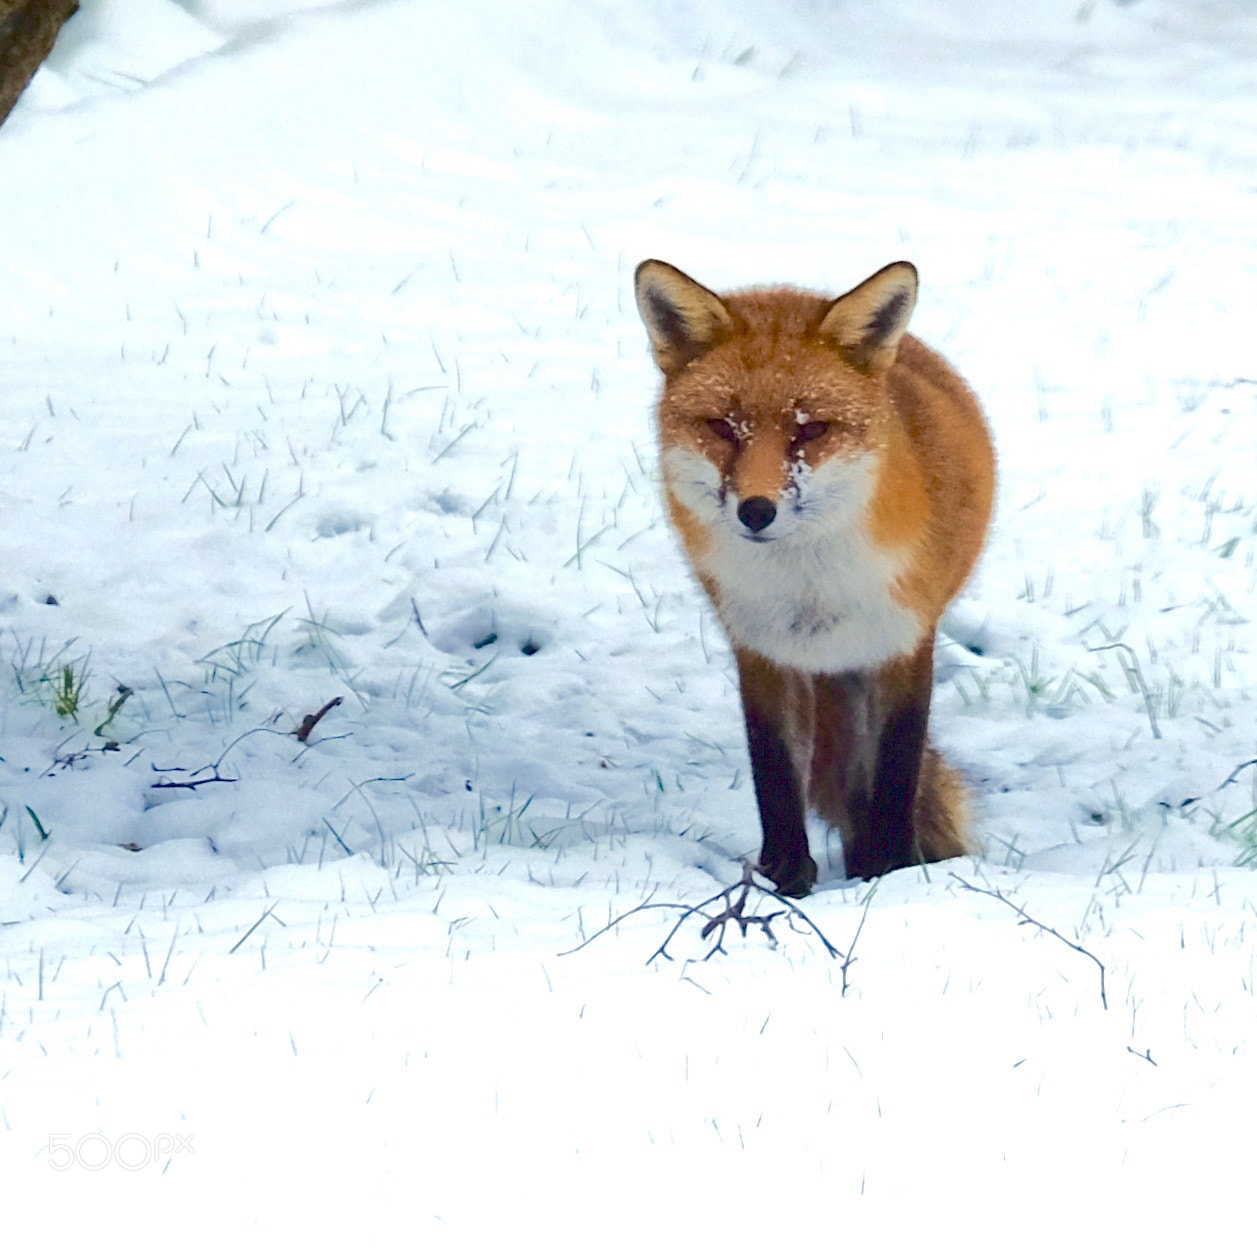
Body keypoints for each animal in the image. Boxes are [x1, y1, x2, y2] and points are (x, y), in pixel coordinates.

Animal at [634, 258, 996, 896]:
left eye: (810, 430)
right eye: (723, 427)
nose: (756, 511)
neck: (812, 589)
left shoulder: (903, 643)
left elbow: (896, 775)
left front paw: (892, 873)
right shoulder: (762, 651)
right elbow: (774, 774)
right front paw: (783, 878)